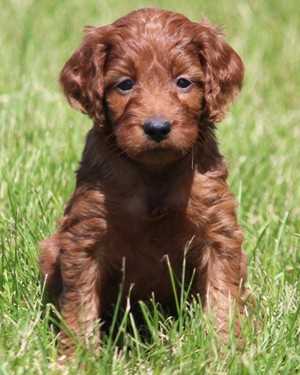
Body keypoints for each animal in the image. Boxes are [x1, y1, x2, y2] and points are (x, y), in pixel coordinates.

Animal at [39, 8, 246, 356]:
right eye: (125, 84)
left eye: (183, 82)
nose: (157, 127)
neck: (154, 172)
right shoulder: (85, 235)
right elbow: (80, 303)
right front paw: (79, 357)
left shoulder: (218, 233)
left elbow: (223, 298)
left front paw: (226, 351)